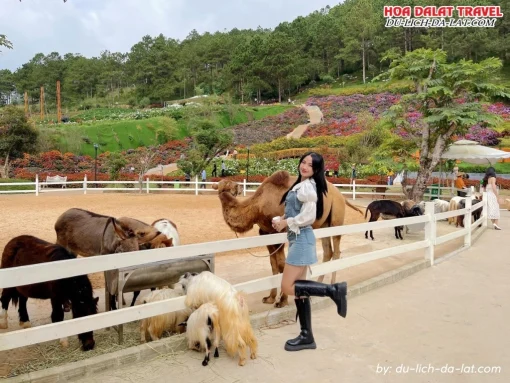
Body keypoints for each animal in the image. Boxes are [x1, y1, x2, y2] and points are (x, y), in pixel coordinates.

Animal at [211, 171, 362, 308]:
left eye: (229, 185)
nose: (238, 188)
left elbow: (282, 265)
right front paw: (270, 298)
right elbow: (273, 266)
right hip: (324, 224)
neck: (258, 207)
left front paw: (282, 301)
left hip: (337, 218)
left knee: (336, 251)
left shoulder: (280, 234)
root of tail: (341, 195)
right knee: (327, 252)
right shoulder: (265, 233)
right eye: (221, 186)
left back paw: (331, 285)